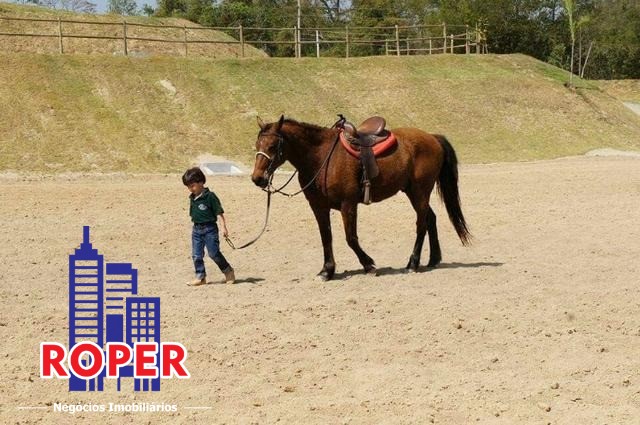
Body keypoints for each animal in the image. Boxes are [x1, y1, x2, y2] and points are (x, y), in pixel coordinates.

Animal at [251, 114, 470, 280]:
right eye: (257, 144)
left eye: (273, 145)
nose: (257, 178)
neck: (321, 156)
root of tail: (432, 137)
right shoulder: (318, 206)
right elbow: (326, 237)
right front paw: (327, 270)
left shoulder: (348, 204)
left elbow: (351, 238)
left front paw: (369, 265)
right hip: (414, 192)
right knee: (430, 218)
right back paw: (433, 259)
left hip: (419, 192)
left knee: (421, 224)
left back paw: (412, 263)